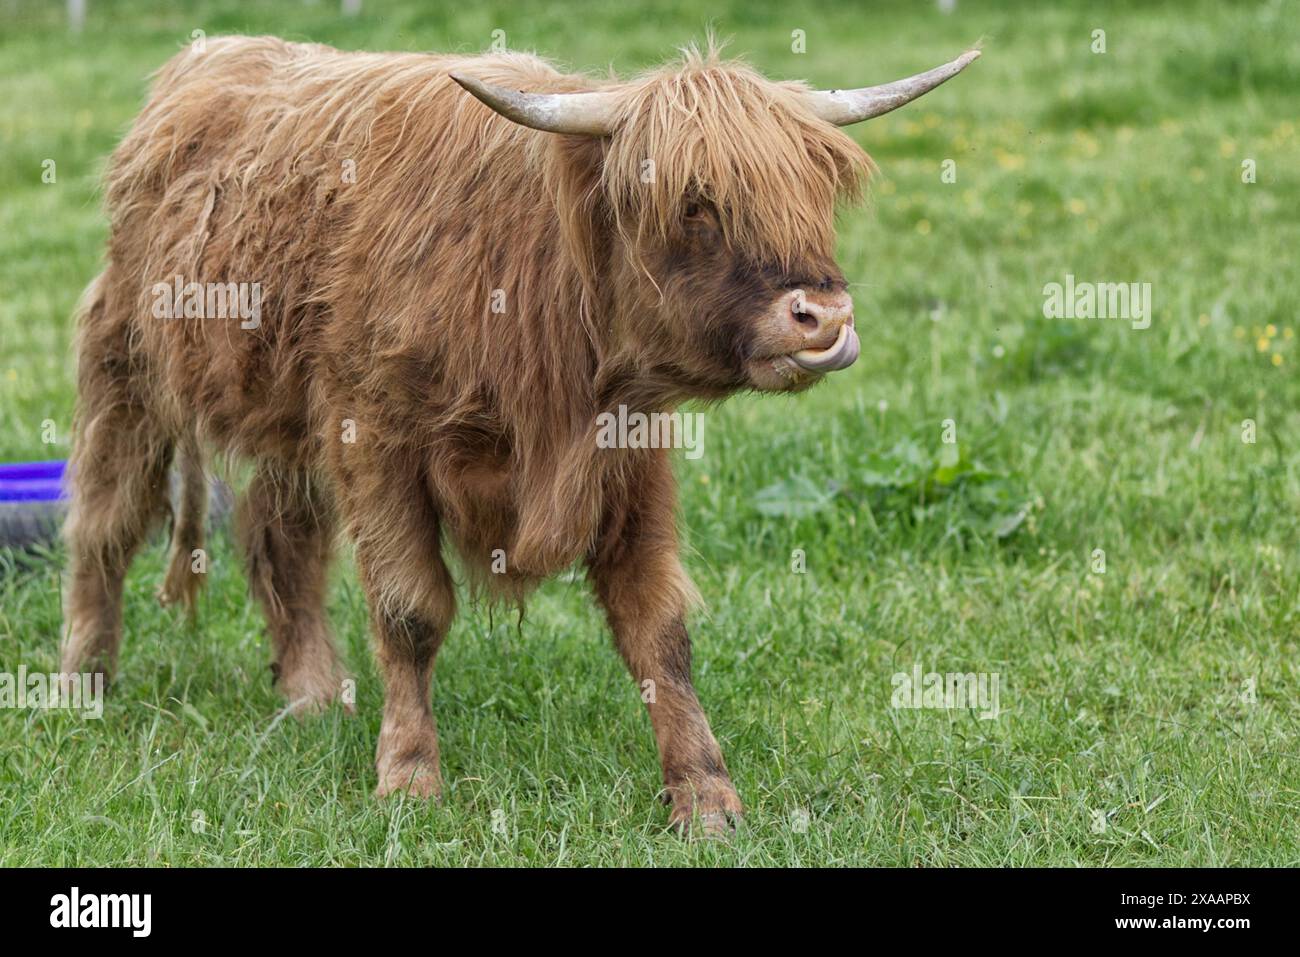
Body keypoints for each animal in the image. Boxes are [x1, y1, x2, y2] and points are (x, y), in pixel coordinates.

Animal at [61, 35, 977, 832]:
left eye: (813, 195)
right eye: (696, 204)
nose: (824, 318)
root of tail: (207, 58)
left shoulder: (632, 459)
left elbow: (659, 628)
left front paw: (704, 793)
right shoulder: (376, 439)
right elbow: (411, 612)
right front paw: (408, 778)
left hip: (287, 419)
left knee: (278, 537)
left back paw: (315, 694)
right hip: (126, 371)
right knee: (105, 525)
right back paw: (81, 684)